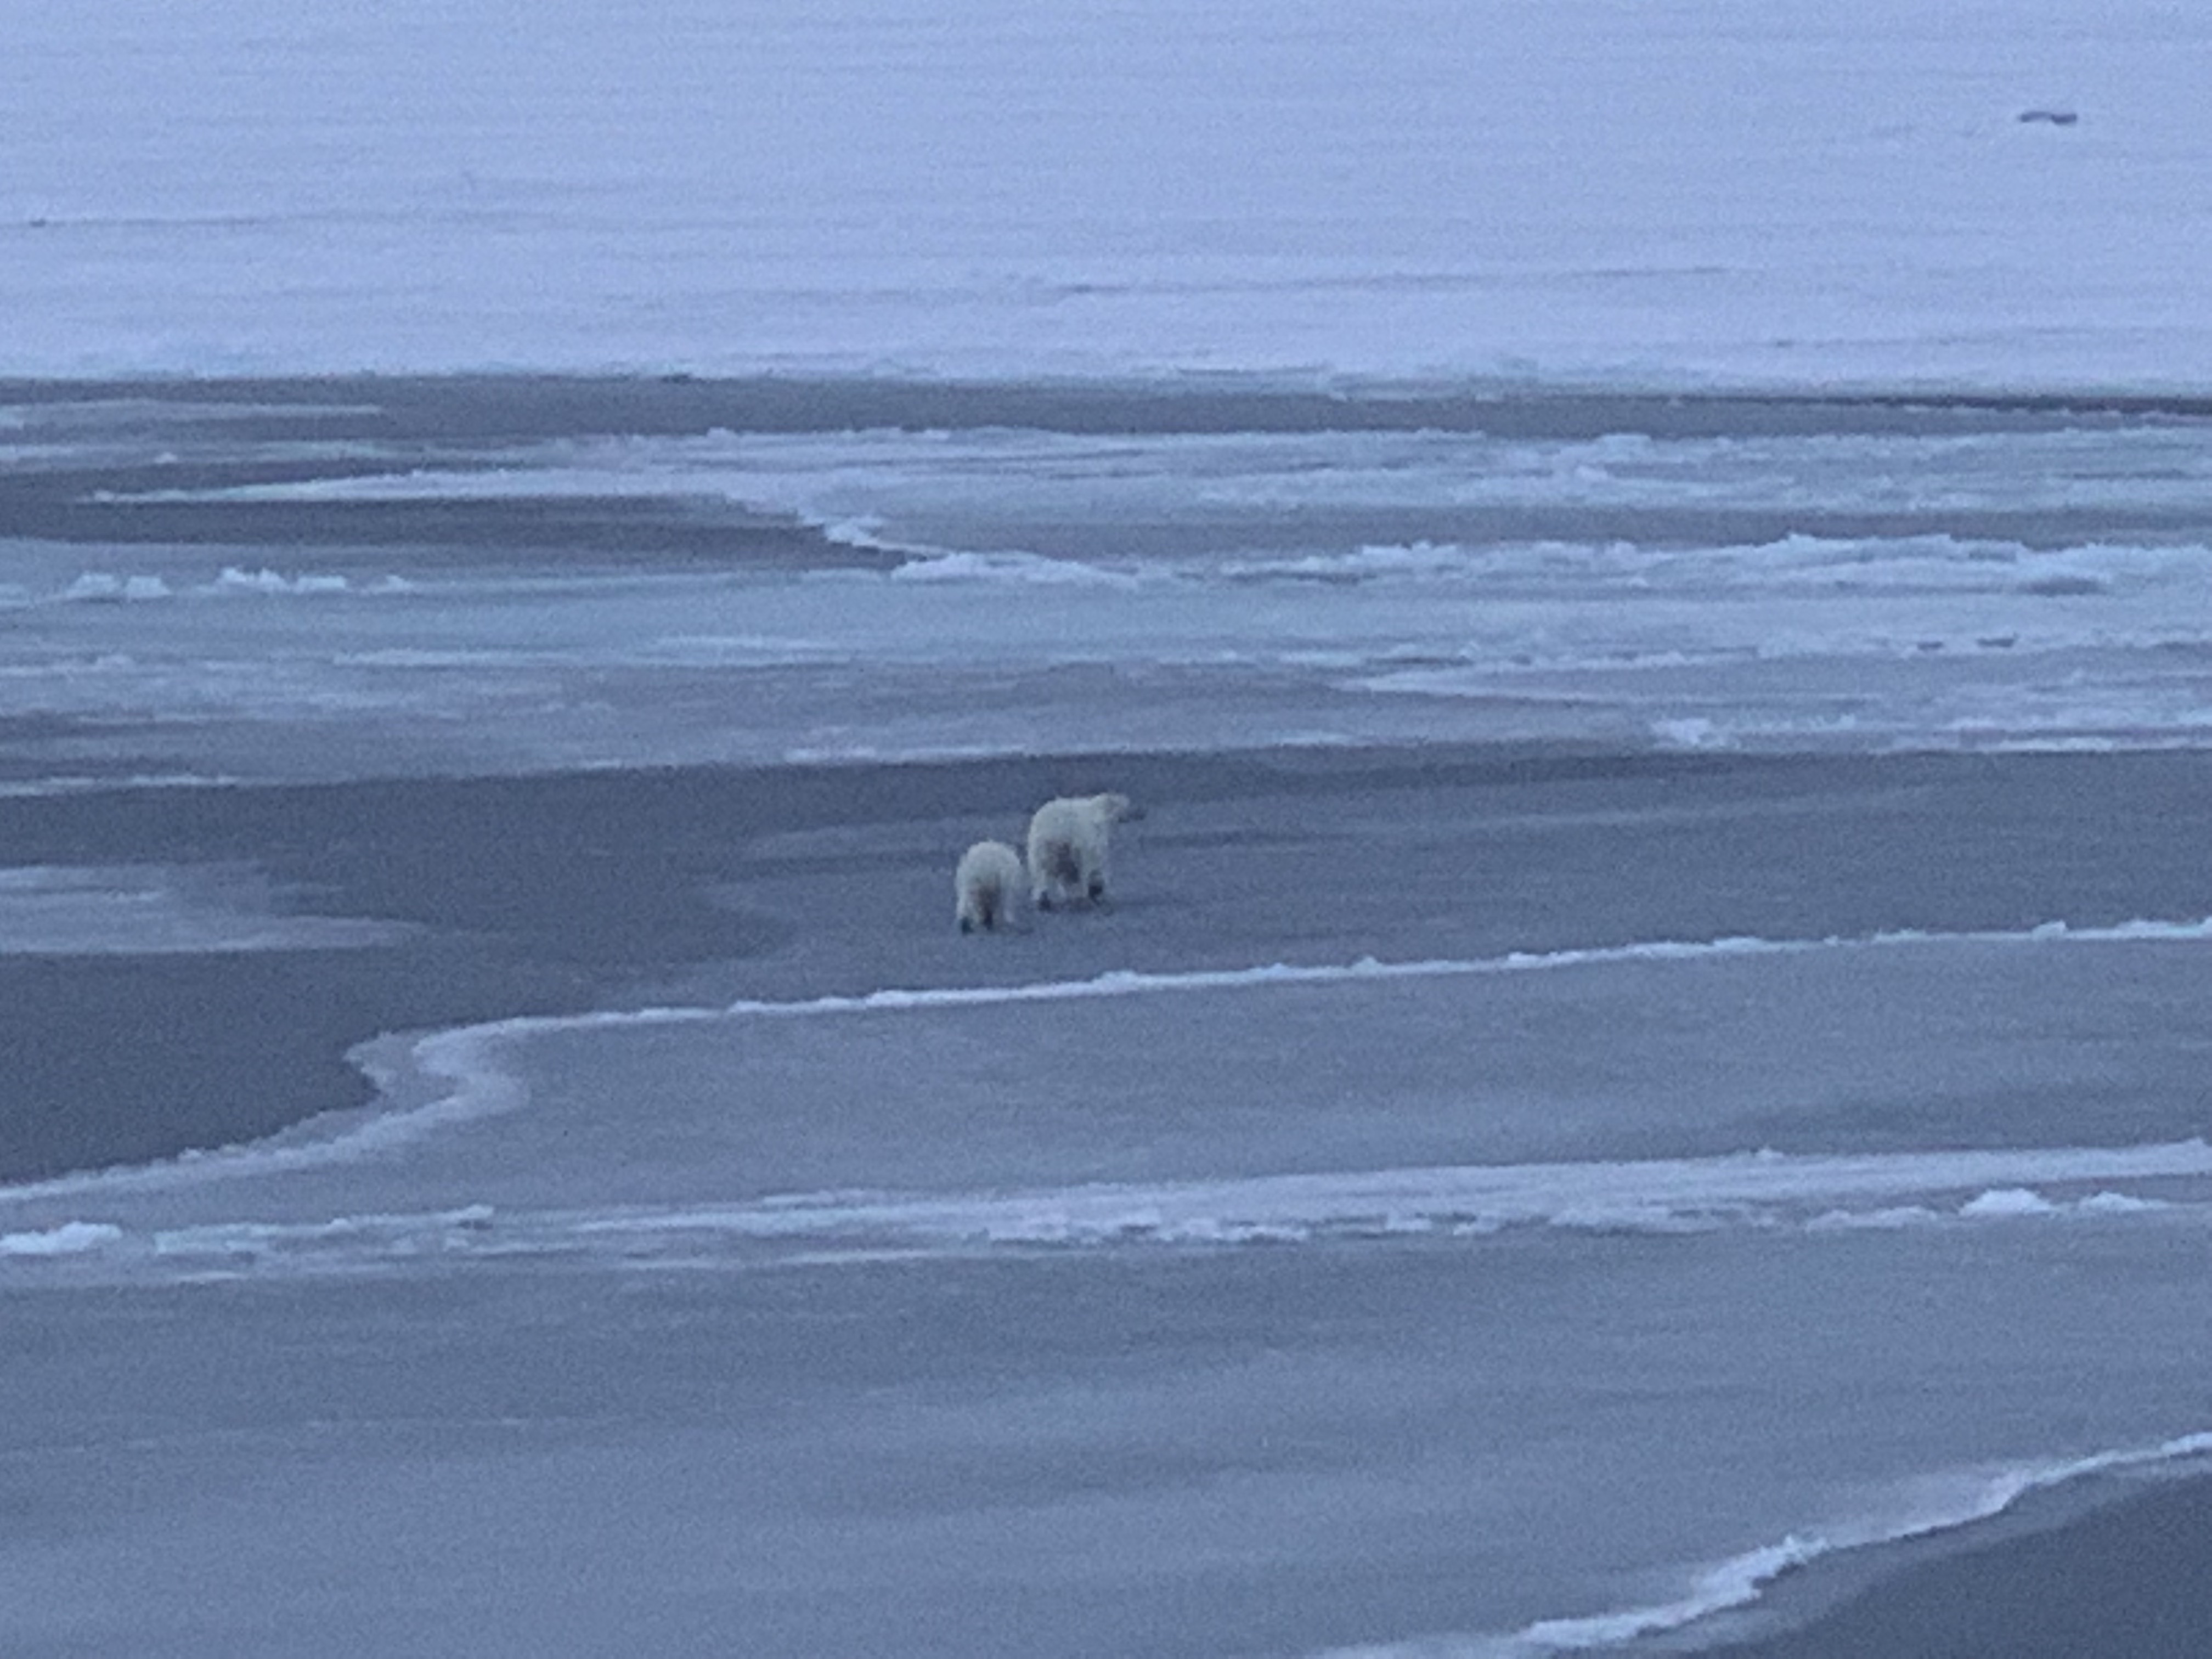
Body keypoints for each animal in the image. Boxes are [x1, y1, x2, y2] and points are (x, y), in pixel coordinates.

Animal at [1022, 787, 1141, 911]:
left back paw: (1043, 900)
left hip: (1039, 848)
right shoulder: (1092, 843)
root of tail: (1058, 828)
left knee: (1040, 872)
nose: (1132, 815)